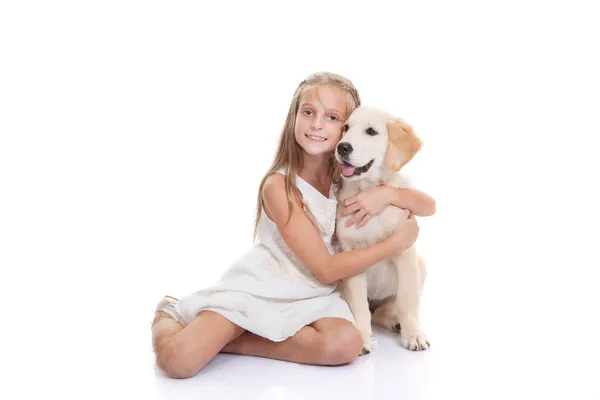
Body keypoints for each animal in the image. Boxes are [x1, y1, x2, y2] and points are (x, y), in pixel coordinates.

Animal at [336, 105, 428, 354]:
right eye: (345, 128)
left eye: (371, 131)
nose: (342, 147)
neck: (368, 191)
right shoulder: (351, 254)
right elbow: (358, 304)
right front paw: (362, 337)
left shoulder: (405, 250)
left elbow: (406, 299)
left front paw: (413, 335)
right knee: (372, 312)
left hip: (420, 266)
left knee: (389, 309)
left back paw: (399, 324)